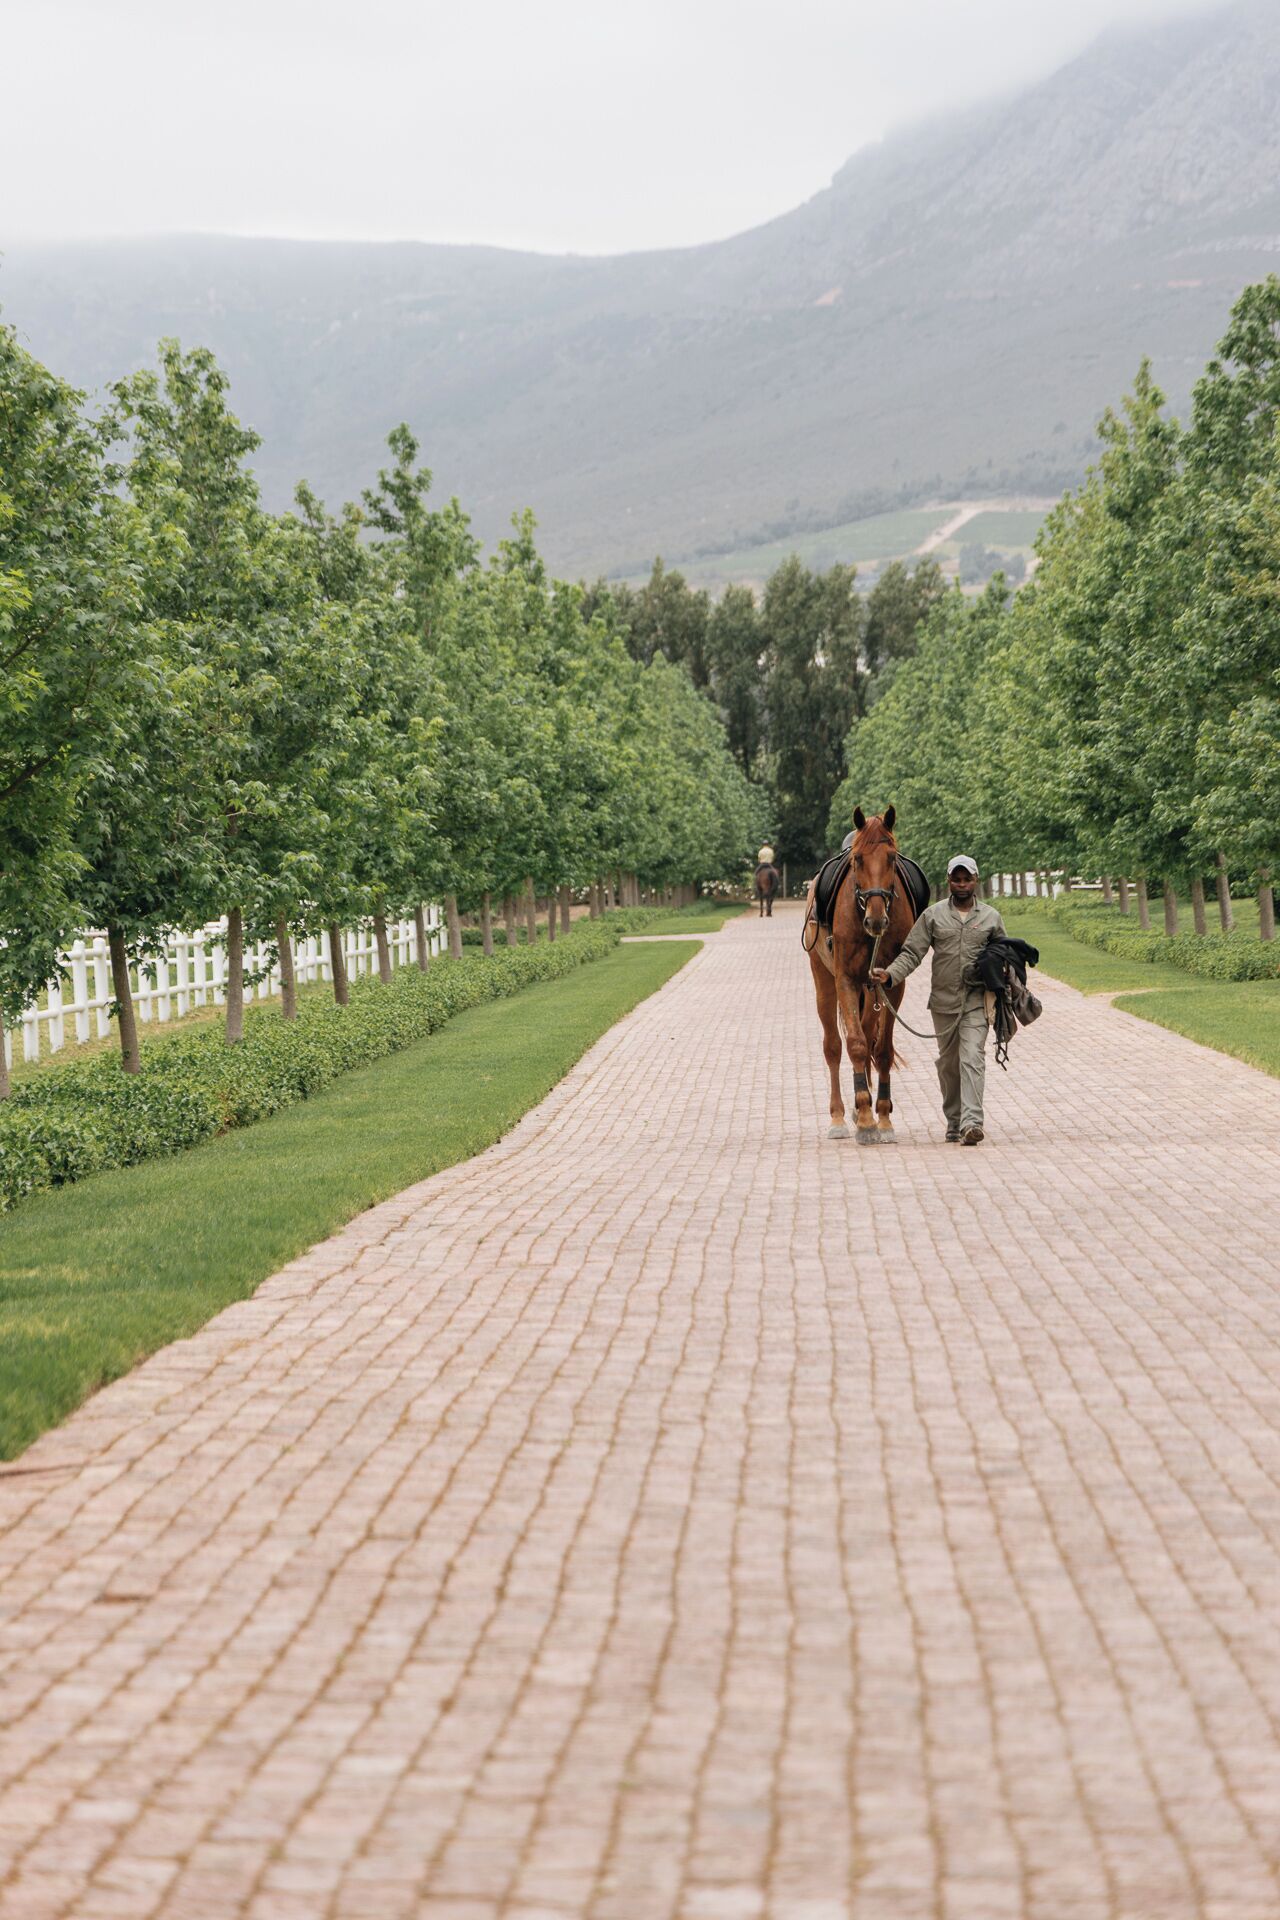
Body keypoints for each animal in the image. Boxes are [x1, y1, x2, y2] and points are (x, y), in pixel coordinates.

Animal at [806, 805, 916, 1143]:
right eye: (857, 860)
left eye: (892, 858)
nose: (876, 919)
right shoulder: (846, 980)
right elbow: (854, 1045)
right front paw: (867, 1120)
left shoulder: (893, 983)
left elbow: (881, 1049)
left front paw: (882, 1117)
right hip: (824, 980)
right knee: (833, 1045)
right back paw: (840, 1116)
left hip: (871, 989)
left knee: (869, 1035)